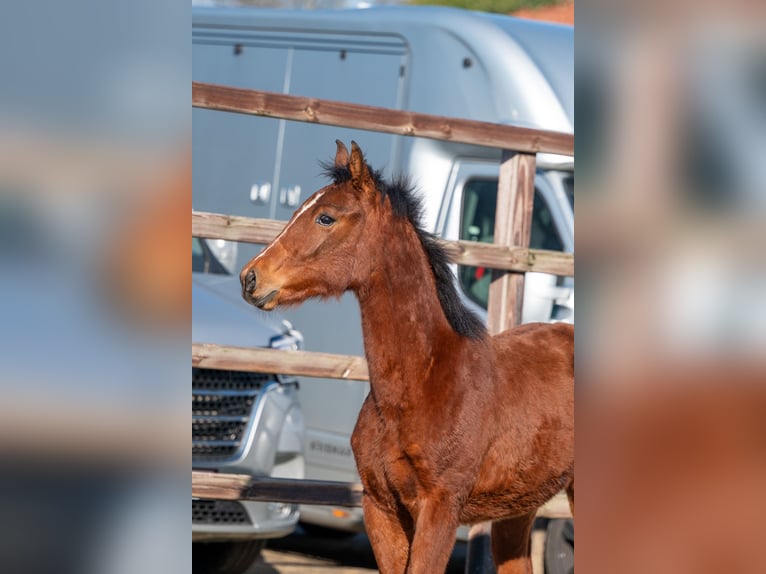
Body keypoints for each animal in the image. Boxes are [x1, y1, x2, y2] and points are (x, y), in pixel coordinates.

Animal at [240, 140, 574, 574]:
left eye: (326, 217)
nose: (251, 278)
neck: (422, 382)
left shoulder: (440, 508)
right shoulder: (380, 507)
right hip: (518, 507)